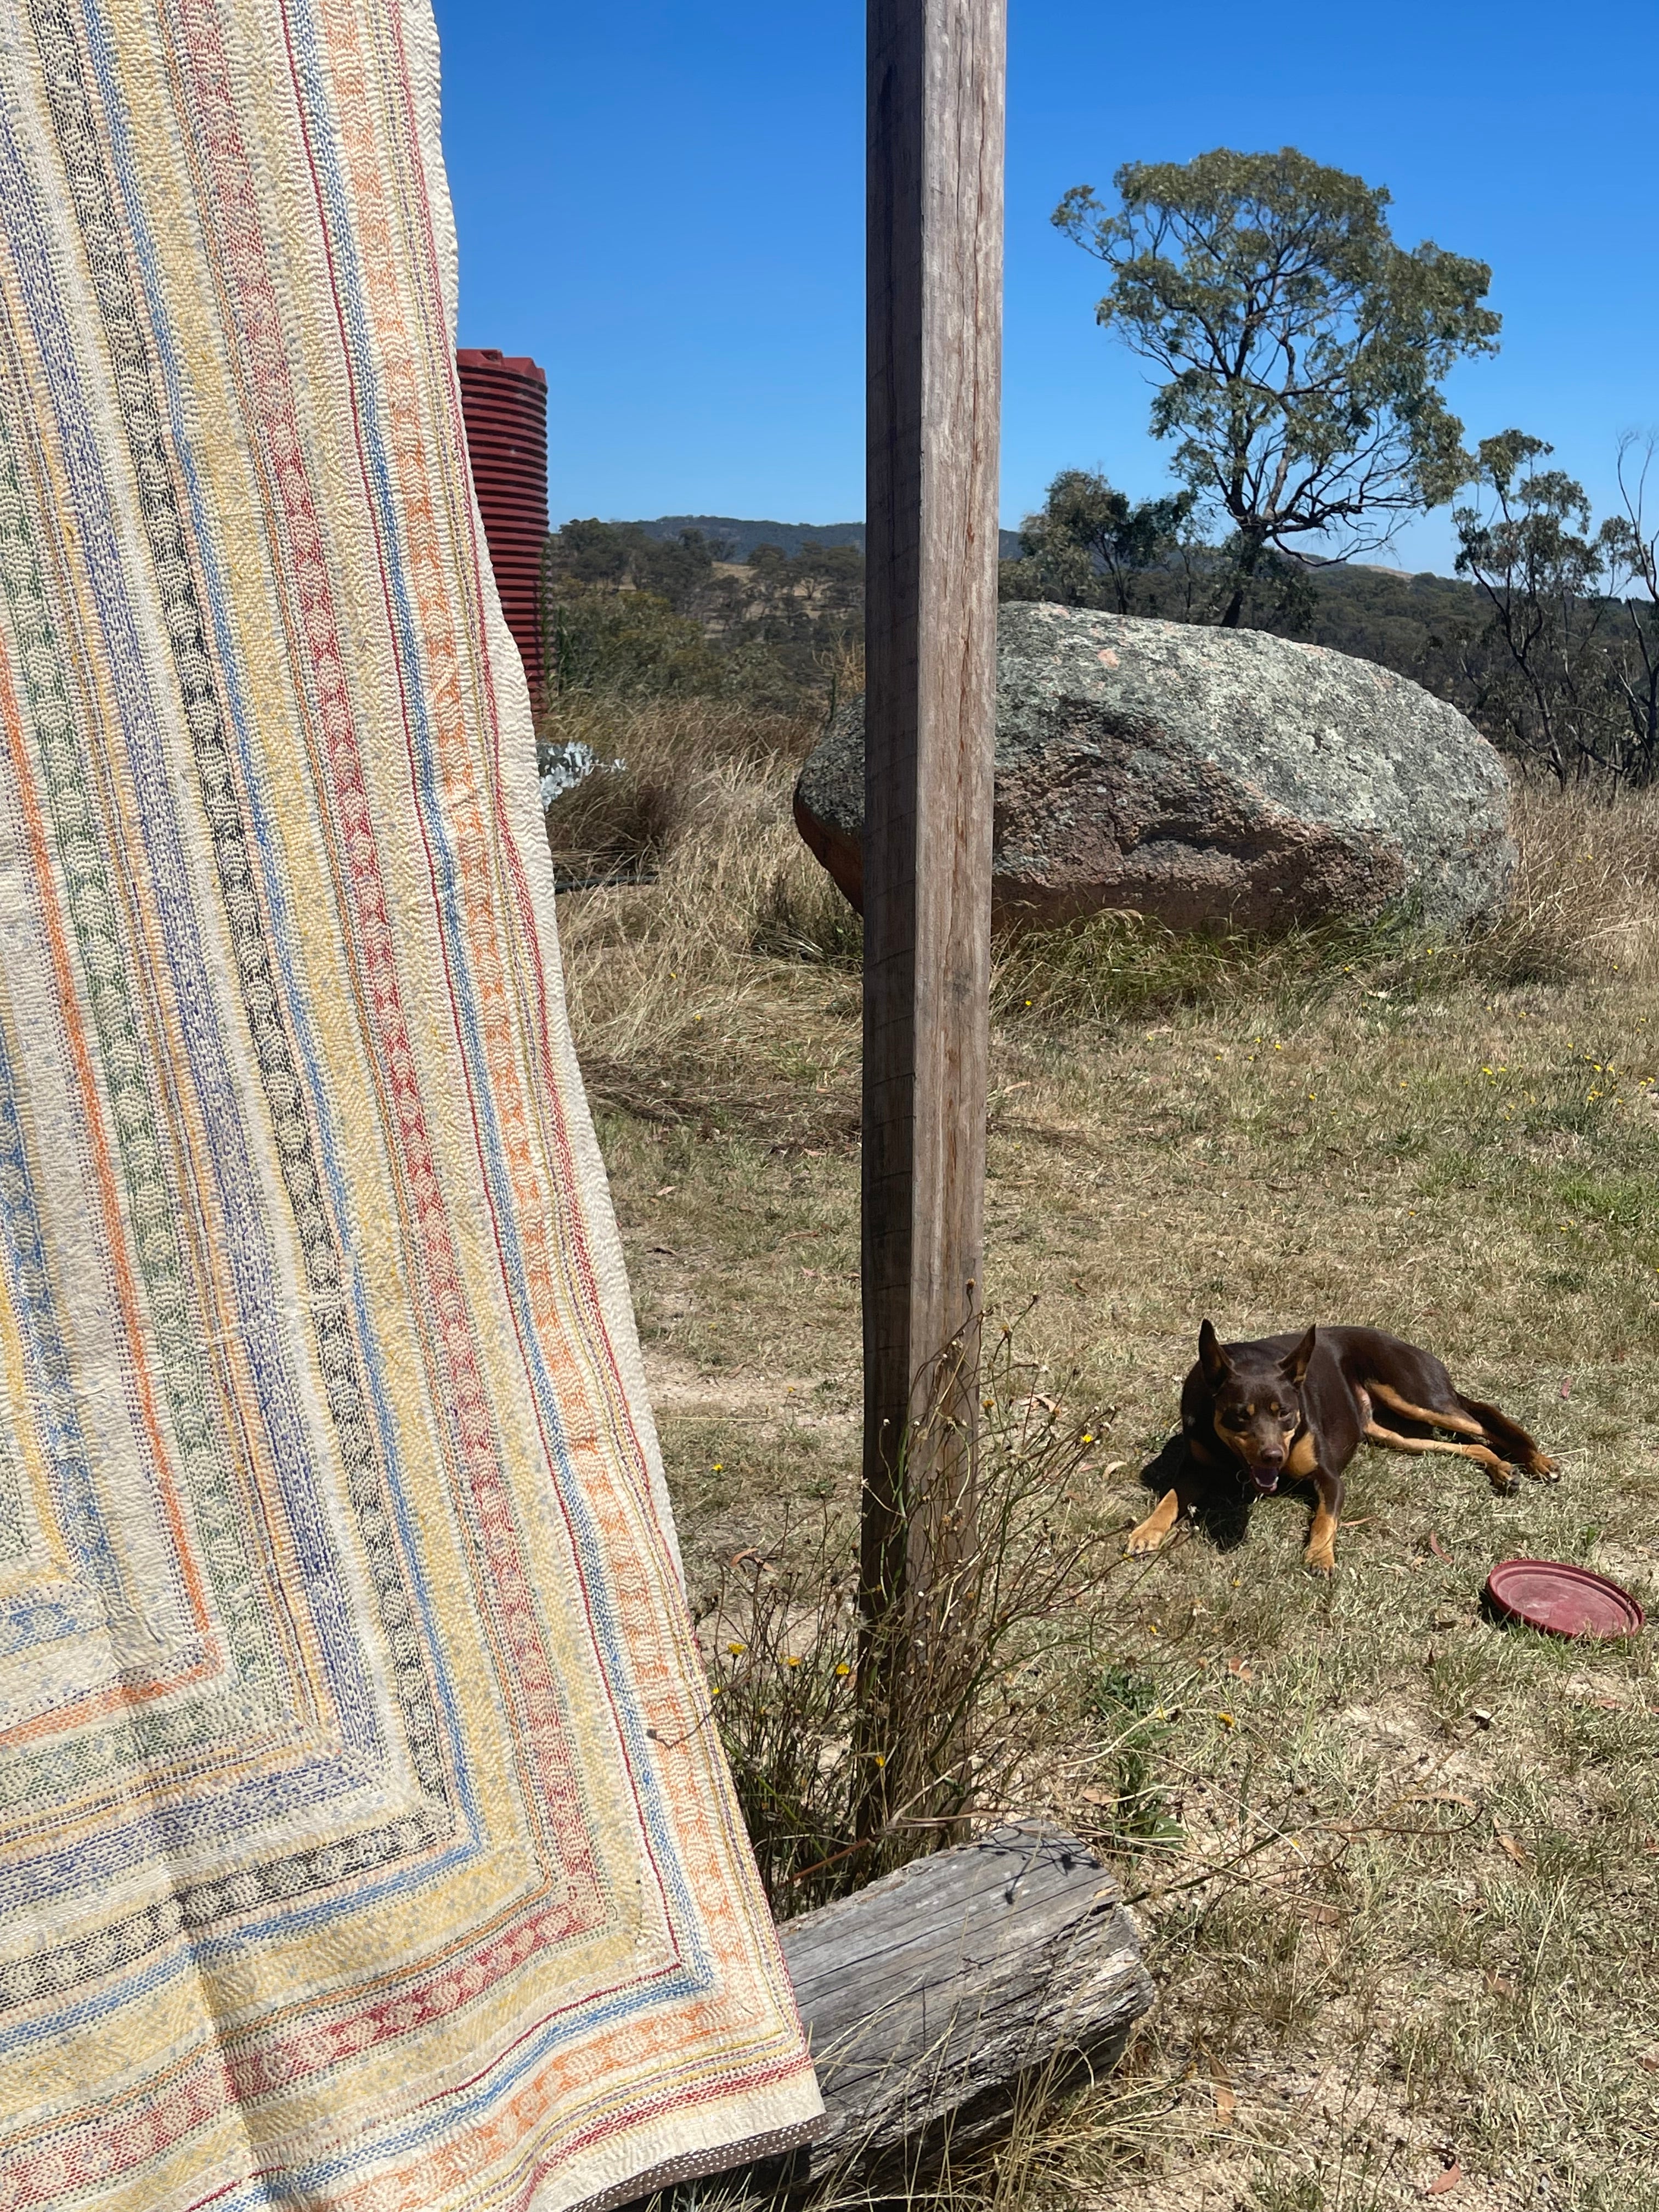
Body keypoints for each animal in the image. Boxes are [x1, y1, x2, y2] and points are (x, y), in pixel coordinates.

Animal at [1132, 1309, 1557, 1575]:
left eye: (1285, 1412)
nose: (1273, 1456)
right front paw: (1146, 1532)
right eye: (1241, 1414)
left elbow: (1325, 1519)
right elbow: (1171, 1497)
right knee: (1470, 1444)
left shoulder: (1329, 1477)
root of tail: (1414, 1348)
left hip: (1417, 1398)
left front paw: (1320, 1558)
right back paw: (1502, 1469)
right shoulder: (1196, 1467)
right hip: (1394, 1434)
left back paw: (1537, 1461)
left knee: (1483, 1421)